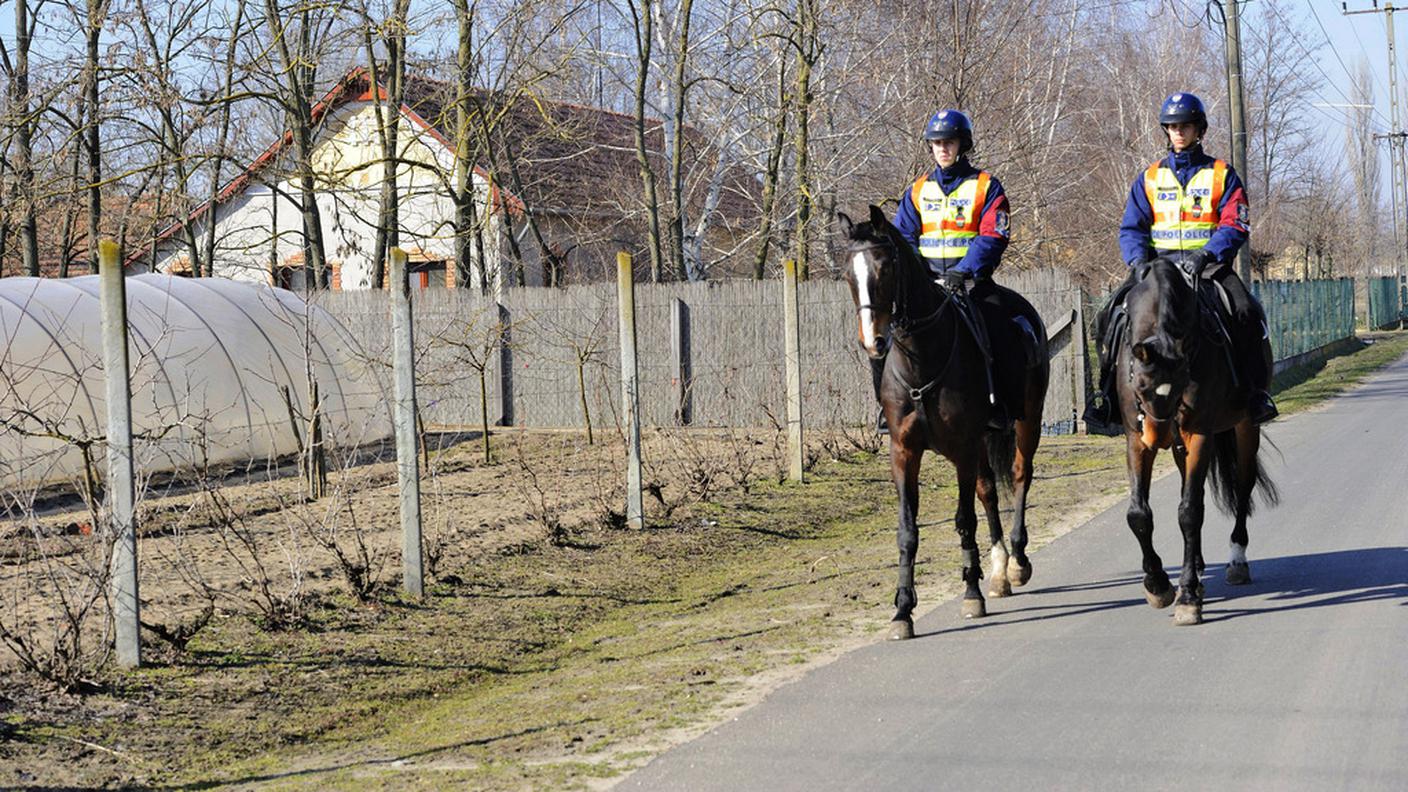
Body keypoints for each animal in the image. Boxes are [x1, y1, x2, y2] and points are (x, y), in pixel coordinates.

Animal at [833, 207, 1047, 636]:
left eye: (884, 269)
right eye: (849, 274)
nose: (873, 342)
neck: (921, 360)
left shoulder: (962, 448)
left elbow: (964, 520)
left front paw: (971, 594)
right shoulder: (904, 452)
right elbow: (908, 531)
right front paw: (902, 609)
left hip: (1026, 422)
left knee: (1019, 477)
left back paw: (1017, 562)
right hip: (981, 443)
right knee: (988, 491)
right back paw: (999, 570)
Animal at [1103, 257, 1284, 622]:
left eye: (1183, 380)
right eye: (1139, 386)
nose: (1157, 435)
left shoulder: (1198, 434)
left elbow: (1189, 512)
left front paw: (1186, 596)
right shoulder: (1136, 441)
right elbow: (1138, 514)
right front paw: (1158, 584)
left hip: (1244, 429)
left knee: (1241, 487)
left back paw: (1236, 561)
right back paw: (1198, 567)